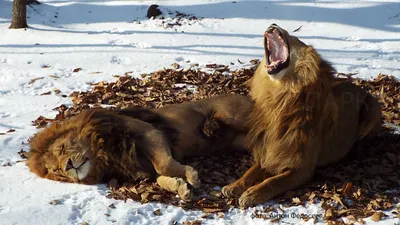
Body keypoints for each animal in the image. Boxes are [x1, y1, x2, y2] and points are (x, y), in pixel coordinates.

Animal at [27, 93, 253, 200]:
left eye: (62, 149)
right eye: (56, 170)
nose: (67, 166)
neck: (102, 155)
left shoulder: (150, 133)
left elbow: (165, 164)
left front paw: (192, 176)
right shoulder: (144, 166)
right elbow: (162, 178)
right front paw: (181, 188)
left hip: (232, 116)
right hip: (242, 141)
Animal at [222, 24, 382, 207]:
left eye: (295, 37)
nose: (272, 25)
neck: (280, 98)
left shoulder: (303, 168)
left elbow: (273, 181)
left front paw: (252, 194)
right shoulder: (270, 150)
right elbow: (250, 172)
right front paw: (234, 186)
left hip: (373, 107)